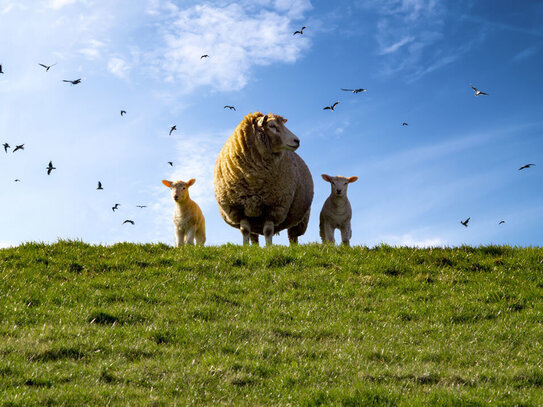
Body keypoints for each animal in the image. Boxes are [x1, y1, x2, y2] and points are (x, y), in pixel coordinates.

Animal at [214, 111, 314, 245]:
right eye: (272, 126)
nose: (297, 140)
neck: (253, 178)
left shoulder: (273, 207)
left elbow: (268, 231)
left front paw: (269, 247)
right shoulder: (240, 209)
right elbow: (245, 231)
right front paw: (245, 247)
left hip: (300, 218)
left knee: (293, 236)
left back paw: (294, 247)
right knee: (253, 235)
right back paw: (255, 247)